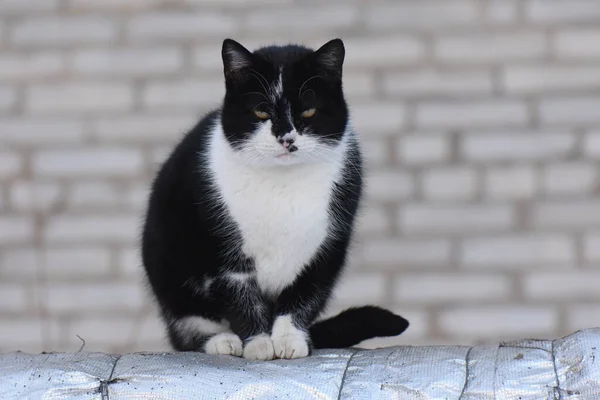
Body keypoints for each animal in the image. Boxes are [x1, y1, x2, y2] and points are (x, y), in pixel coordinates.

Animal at [143, 37, 410, 360]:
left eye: (308, 112)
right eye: (261, 112)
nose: (286, 138)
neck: (283, 184)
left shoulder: (326, 248)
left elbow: (302, 298)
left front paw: (289, 340)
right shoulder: (225, 257)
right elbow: (243, 302)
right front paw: (258, 344)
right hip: (170, 276)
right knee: (186, 330)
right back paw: (222, 341)